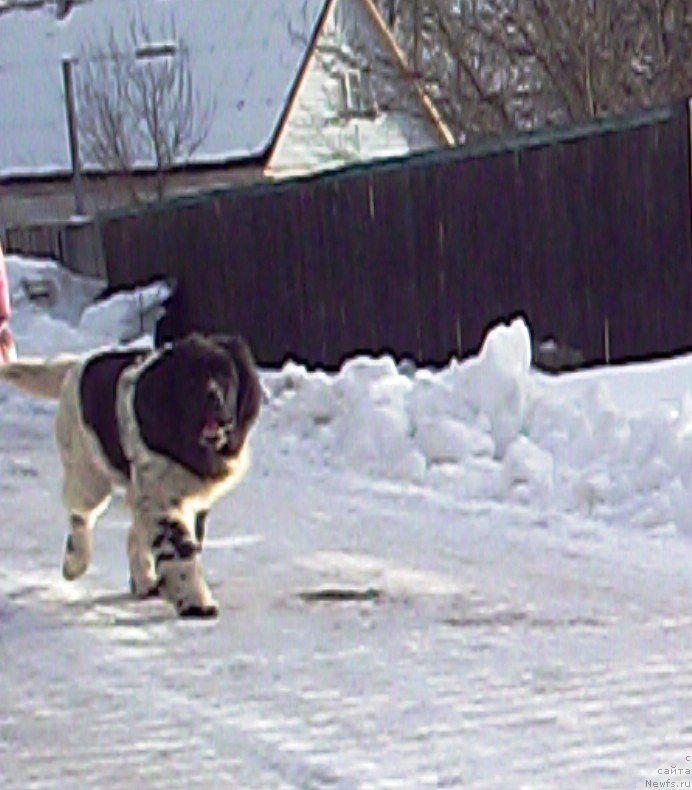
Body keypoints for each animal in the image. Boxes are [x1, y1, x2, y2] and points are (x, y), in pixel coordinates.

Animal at [0, 334, 260, 620]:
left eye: (226, 377)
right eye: (191, 380)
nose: (213, 397)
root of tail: (78, 363)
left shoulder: (188, 497)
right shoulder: (161, 498)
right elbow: (180, 550)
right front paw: (197, 602)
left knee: (133, 530)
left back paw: (143, 580)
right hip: (89, 476)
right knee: (81, 514)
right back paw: (74, 562)